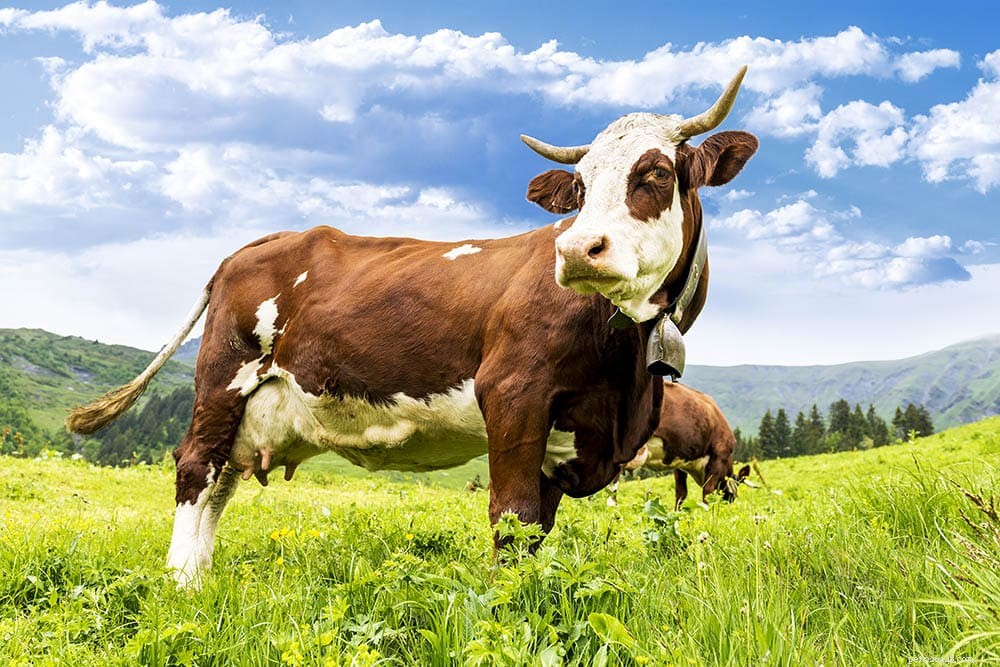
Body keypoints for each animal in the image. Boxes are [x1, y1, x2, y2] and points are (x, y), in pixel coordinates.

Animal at [619, 381, 750, 510]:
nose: (730, 502)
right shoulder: (718, 457)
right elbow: (707, 492)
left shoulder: (679, 463)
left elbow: (681, 493)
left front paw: (677, 512)